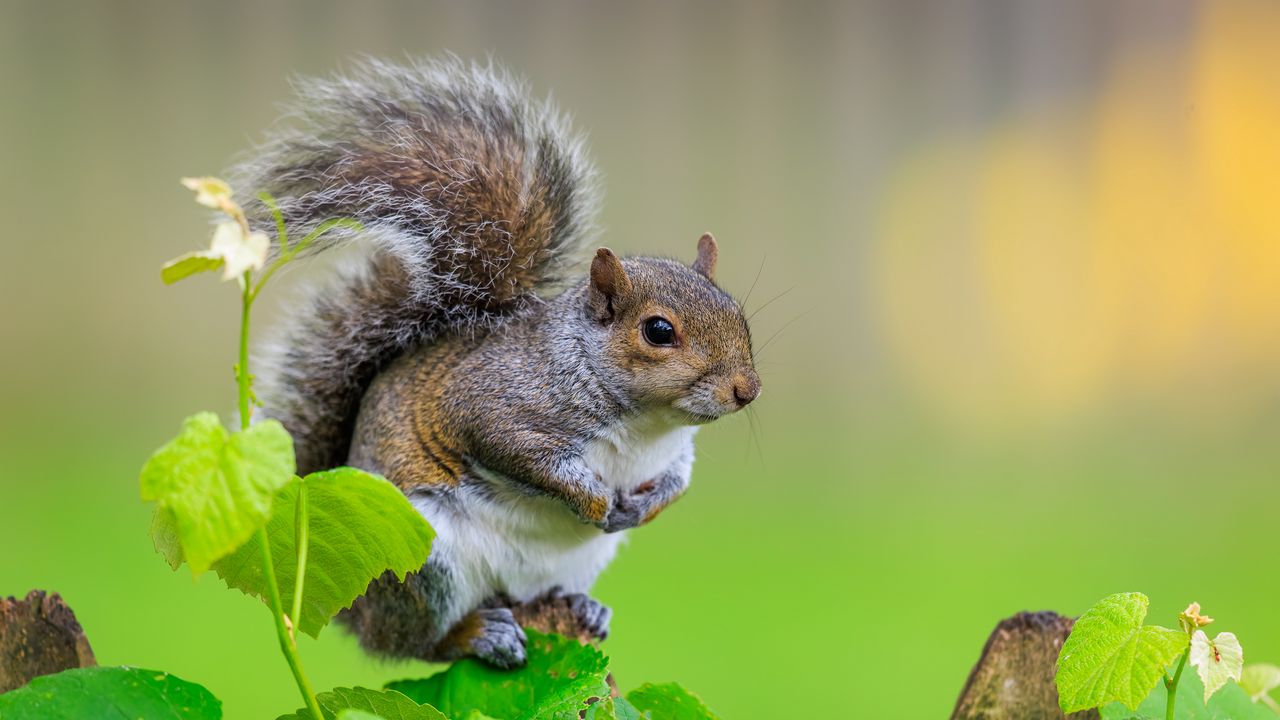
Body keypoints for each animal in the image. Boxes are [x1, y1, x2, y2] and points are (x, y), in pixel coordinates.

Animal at [236, 57, 761, 668]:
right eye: (658, 331)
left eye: (738, 314)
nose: (747, 390)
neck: (644, 425)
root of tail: (353, 610)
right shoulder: (496, 403)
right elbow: (521, 453)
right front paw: (594, 499)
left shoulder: (673, 451)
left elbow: (678, 479)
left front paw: (644, 507)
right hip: (426, 562)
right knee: (416, 645)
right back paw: (477, 634)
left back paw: (582, 607)